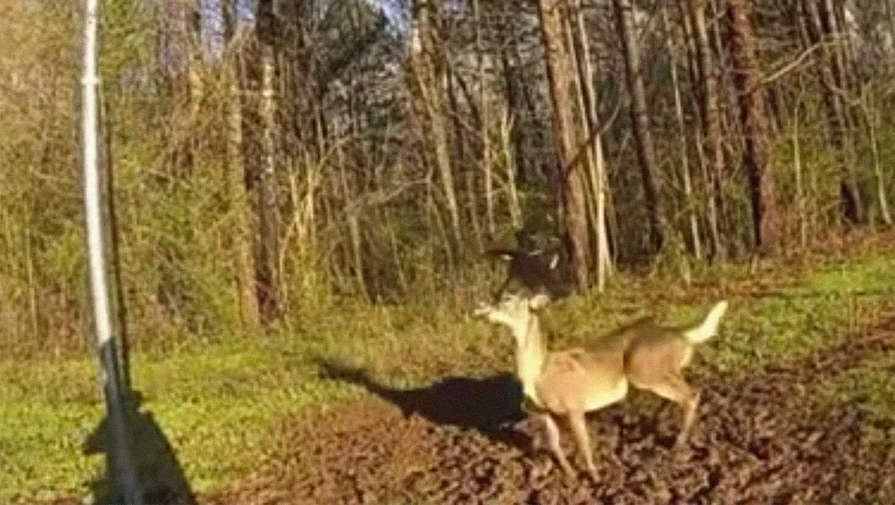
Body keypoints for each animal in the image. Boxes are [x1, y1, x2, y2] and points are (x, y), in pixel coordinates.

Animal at [476, 294, 728, 482]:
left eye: (509, 299)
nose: (482, 308)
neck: (539, 372)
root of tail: (681, 334)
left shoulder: (574, 405)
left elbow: (583, 443)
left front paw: (594, 477)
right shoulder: (544, 412)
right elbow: (555, 445)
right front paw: (570, 475)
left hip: (644, 371)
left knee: (691, 395)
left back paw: (677, 445)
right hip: (658, 372)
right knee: (685, 396)